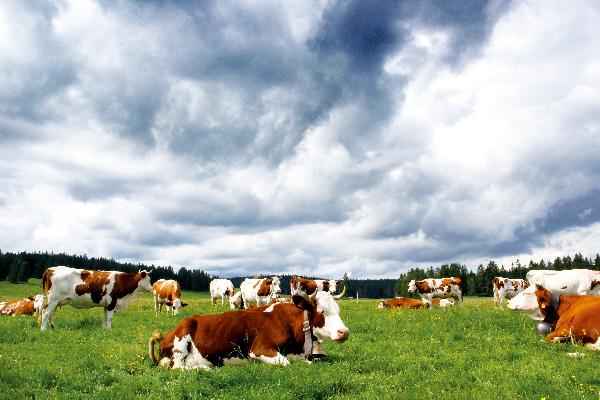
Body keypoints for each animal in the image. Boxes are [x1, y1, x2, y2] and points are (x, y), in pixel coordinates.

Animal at [147, 290, 350, 368]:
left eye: (338, 310)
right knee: (176, 366)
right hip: (180, 343)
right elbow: (286, 363)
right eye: (322, 312)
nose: (344, 332)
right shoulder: (259, 348)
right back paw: (203, 369)